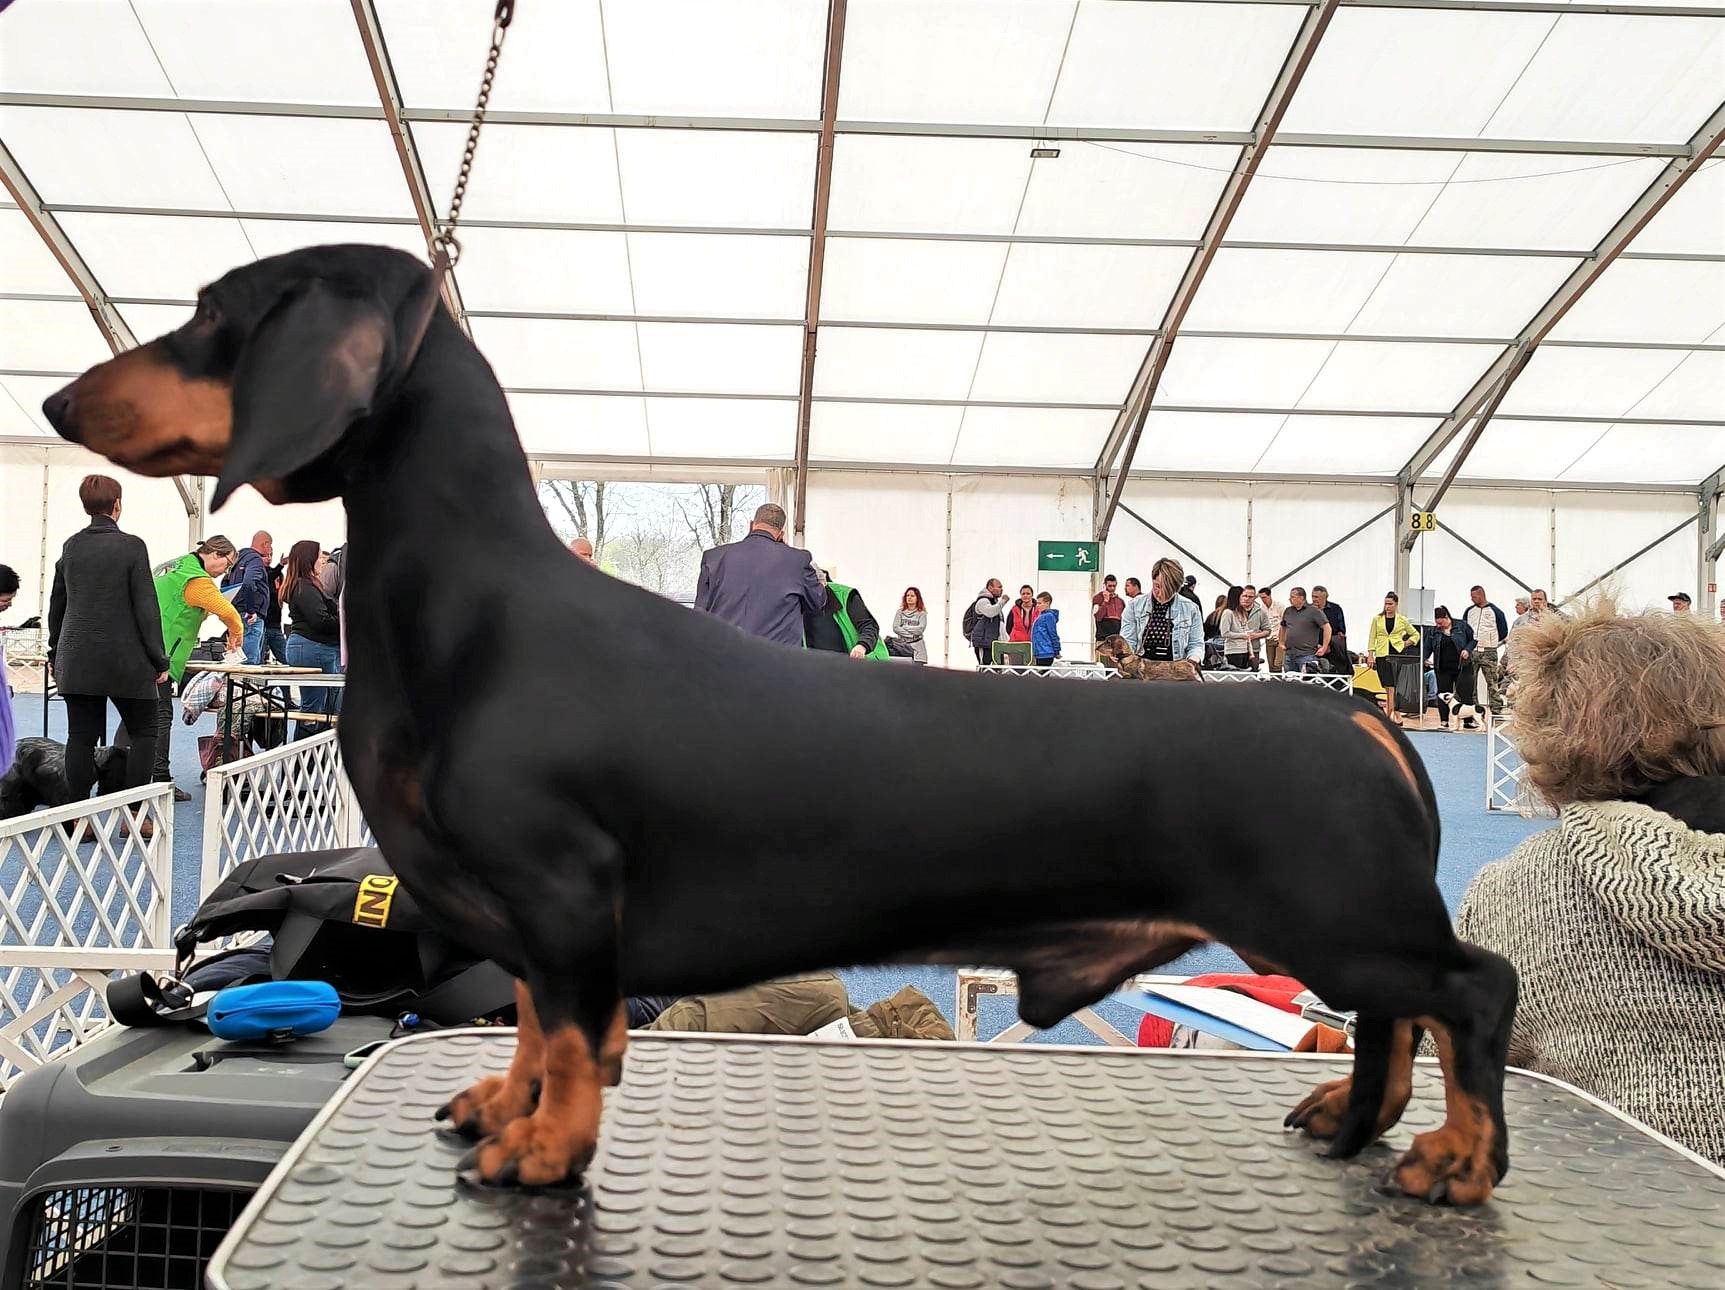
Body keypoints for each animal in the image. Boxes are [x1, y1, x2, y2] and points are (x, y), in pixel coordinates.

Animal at [43, 245, 1518, 1205]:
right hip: (1333, 928)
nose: (57, 404)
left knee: (1468, 992)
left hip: (1332, 917)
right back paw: (1353, 1121)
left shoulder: (563, 894)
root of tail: (1368, 725)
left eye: (212, 316)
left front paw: (544, 1147)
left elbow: (570, 1033)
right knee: (1394, 1018)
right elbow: (526, 1027)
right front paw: (501, 1107)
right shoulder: (530, 921)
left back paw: (1455, 1157)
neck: (475, 609)